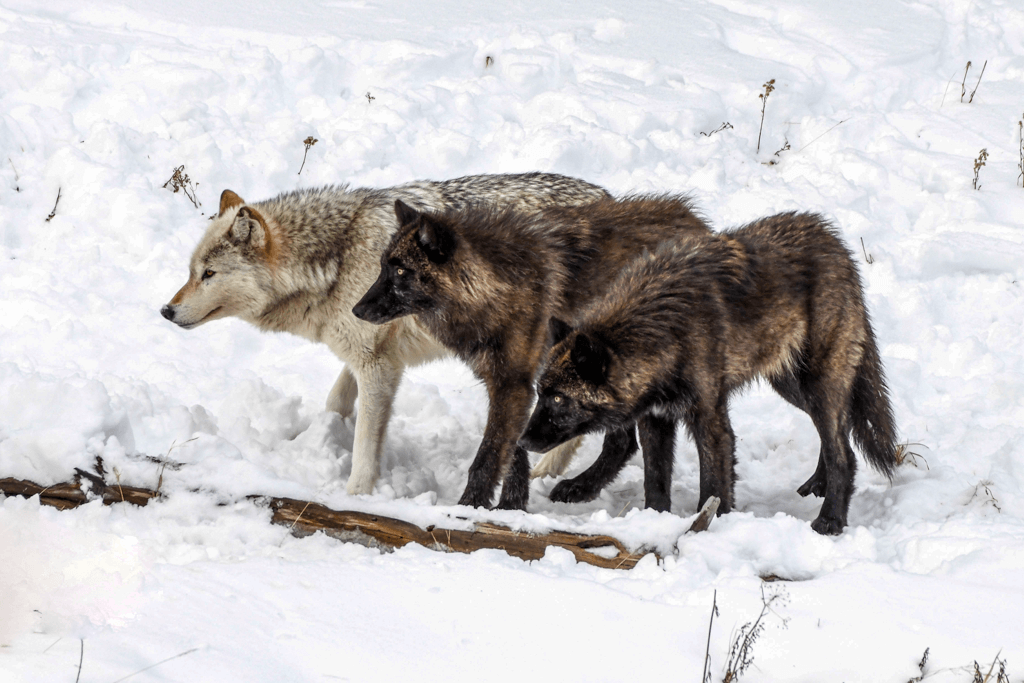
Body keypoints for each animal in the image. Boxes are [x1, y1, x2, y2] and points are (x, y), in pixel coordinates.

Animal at [160, 173, 611, 496]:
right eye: (191, 272)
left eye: (209, 274)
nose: (166, 311)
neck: (336, 262)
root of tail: (607, 194)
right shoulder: (369, 354)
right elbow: (337, 400)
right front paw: (316, 438)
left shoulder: (377, 367)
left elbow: (364, 445)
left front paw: (355, 496)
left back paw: (546, 475)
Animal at [352, 195, 710, 510]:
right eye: (382, 267)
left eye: (401, 272)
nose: (357, 310)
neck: (495, 289)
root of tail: (701, 225)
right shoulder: (512, 385)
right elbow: (515, 452)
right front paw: (511, 507)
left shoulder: (513, 384)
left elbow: (488, 456)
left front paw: (469, 508)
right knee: (623, 443)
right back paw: (579, 489)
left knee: (624, 441)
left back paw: (580, 488)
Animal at [518, 212, 898, 535]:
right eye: (540, 392)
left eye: (558, 398)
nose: (522, 441)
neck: (662, 332)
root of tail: (833, 239)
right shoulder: (656, 418)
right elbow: (655, 481)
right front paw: (655, 521)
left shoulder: (710, 418)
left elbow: (713, 484)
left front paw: (707, 528)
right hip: (792, 385)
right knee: (839, 432)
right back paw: (817, 486)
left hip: (816, 385)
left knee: (843, 452)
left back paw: (830, 520)